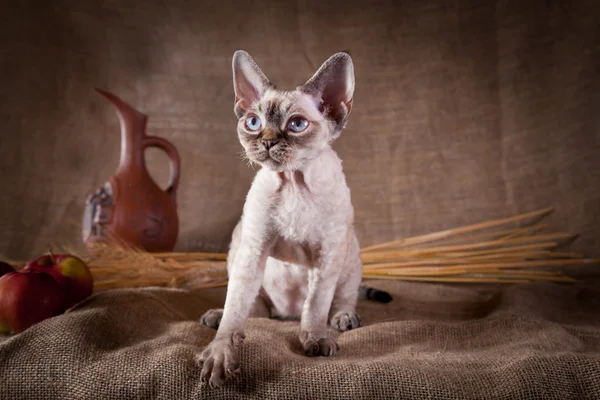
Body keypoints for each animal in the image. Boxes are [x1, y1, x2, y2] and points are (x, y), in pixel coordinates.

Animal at [198, 49, 394, 388]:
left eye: (297, 124)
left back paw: (343, 318)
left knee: (343, 297)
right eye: (253, 122)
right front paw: (220, 356)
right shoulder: (253, 249)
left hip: (350, 254)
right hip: (238, 250)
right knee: (250, 306)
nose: (266, 141)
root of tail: (285, 313)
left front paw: (315, 338)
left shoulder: (327, 254)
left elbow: (315, 305)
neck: (292, 183)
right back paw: (218, 315)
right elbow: (235, 310)